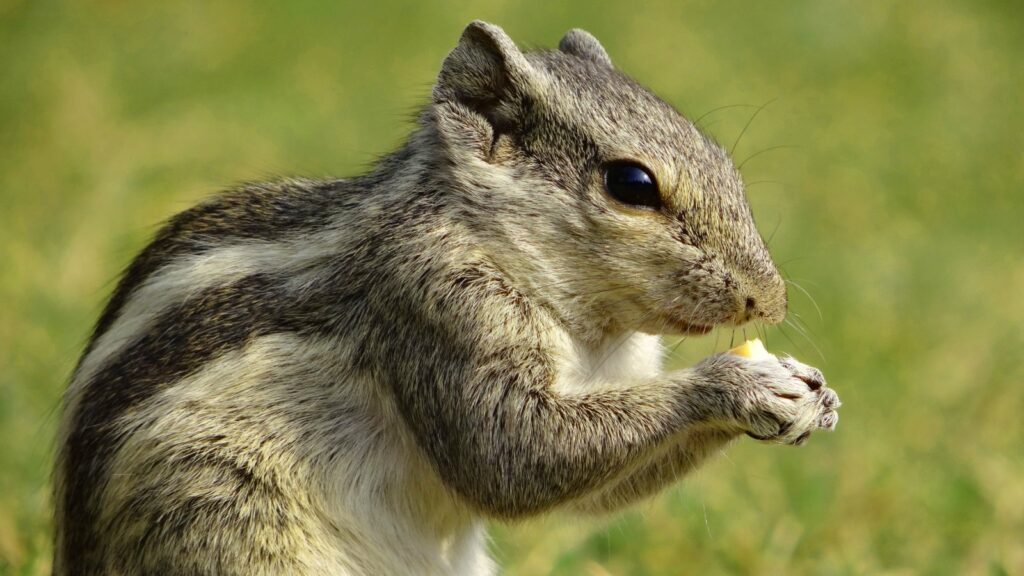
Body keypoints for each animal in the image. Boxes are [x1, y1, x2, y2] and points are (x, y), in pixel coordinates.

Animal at [54, 21, 840, 576]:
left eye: (722, 160)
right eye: (632, 184)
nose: (768, 302)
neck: (587, 325)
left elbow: (592, 489)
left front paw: (814, 391)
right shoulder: (439, 306)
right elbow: (511, 453)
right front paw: (736, 382)